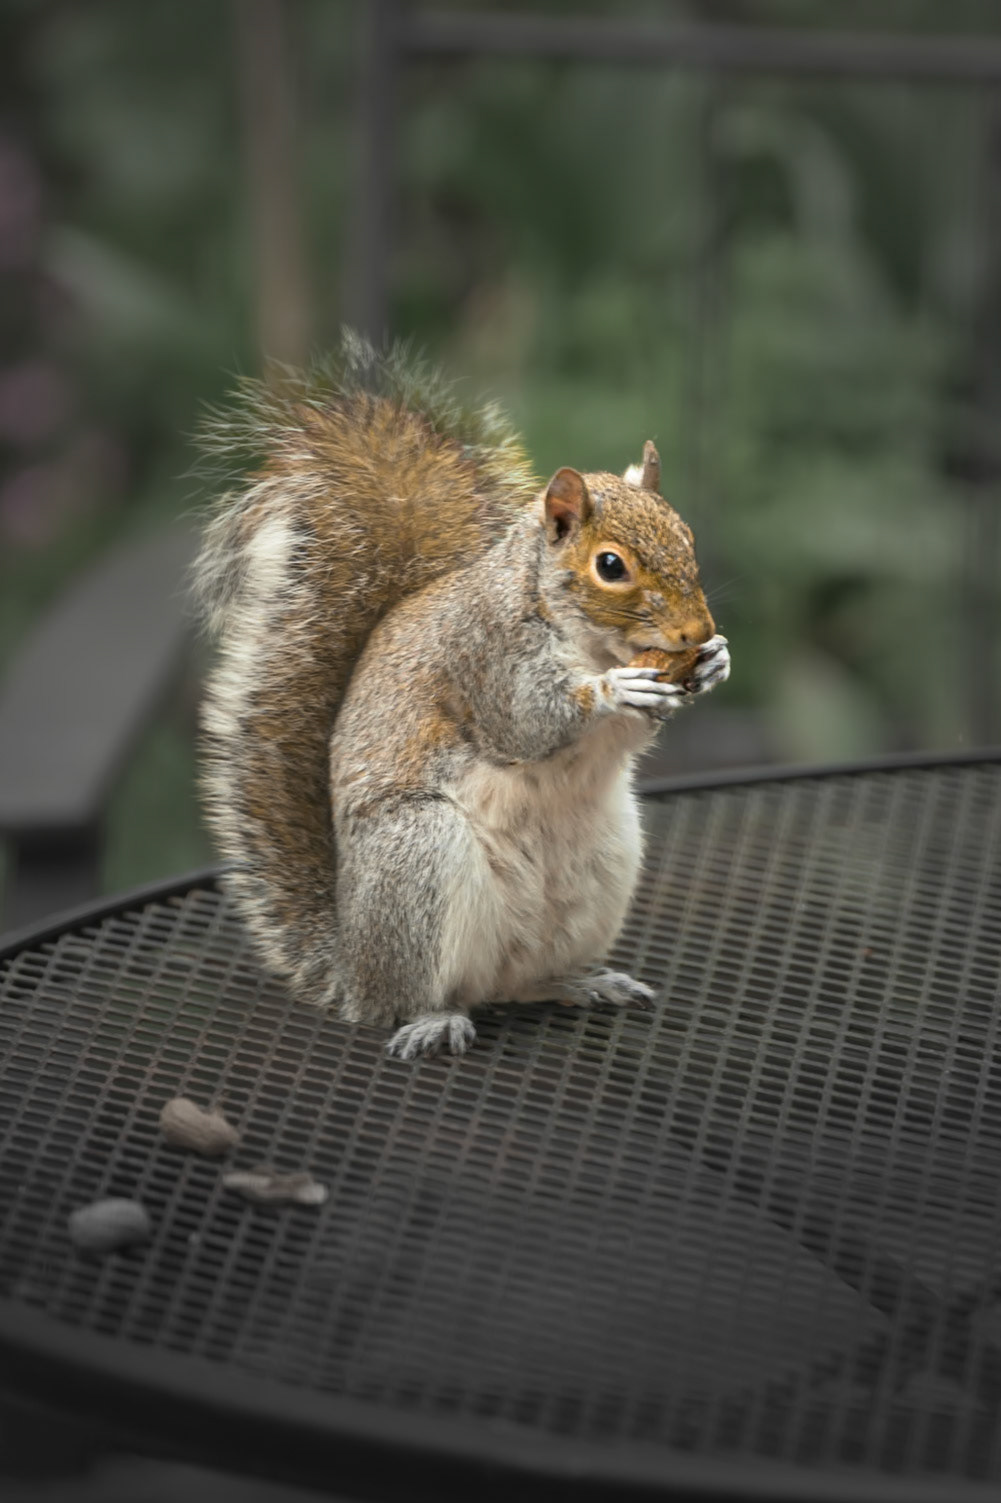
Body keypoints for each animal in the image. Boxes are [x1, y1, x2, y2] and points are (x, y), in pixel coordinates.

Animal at [194, 333, 729, 1059]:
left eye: (687, 537)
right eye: (610, 565)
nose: (695, 631)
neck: (586, 638)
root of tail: (352, 970)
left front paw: (713, 661)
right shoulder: (484, 656)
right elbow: (526, 723)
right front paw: (613, 688)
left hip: (607, 861)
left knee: (521, 981)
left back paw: (583, 981)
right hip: (418, 857)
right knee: (419, 994)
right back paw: (432, 1018)